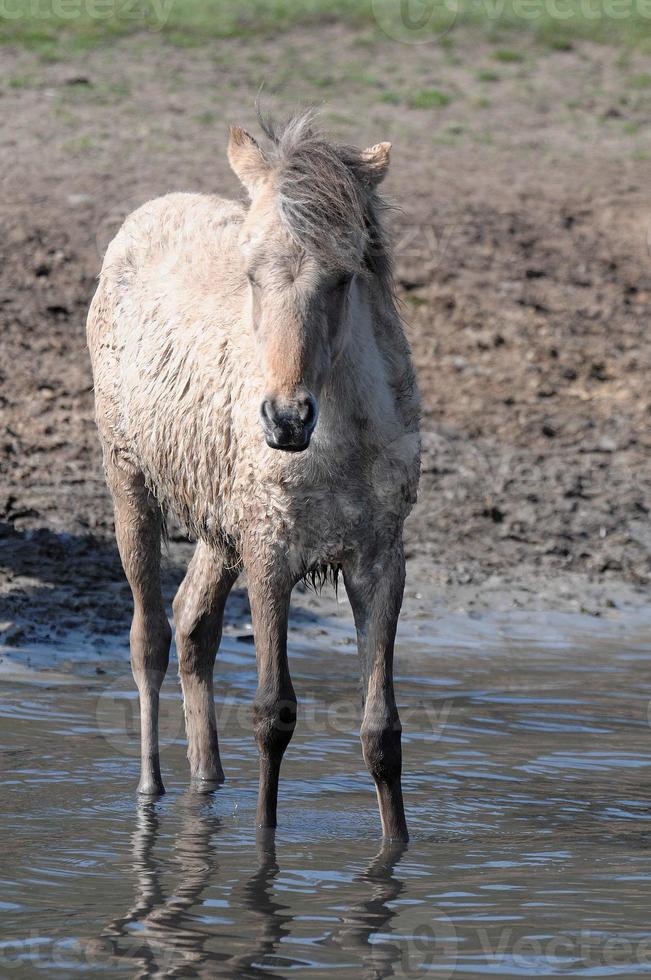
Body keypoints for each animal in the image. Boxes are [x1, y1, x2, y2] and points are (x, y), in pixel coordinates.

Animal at [86, 109, 420, 844]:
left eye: (344, 276)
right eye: (249, 274)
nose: (285, 419)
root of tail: (144, 214)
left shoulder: (379, 559)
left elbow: (381, 730)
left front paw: (399, 851)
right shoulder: (272, 553)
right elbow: (274, 713)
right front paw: (264, 850)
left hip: (220, 527)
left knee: (193, 625)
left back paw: (207, 784)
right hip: (131, 481)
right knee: (148, 636)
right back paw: (150, 794)